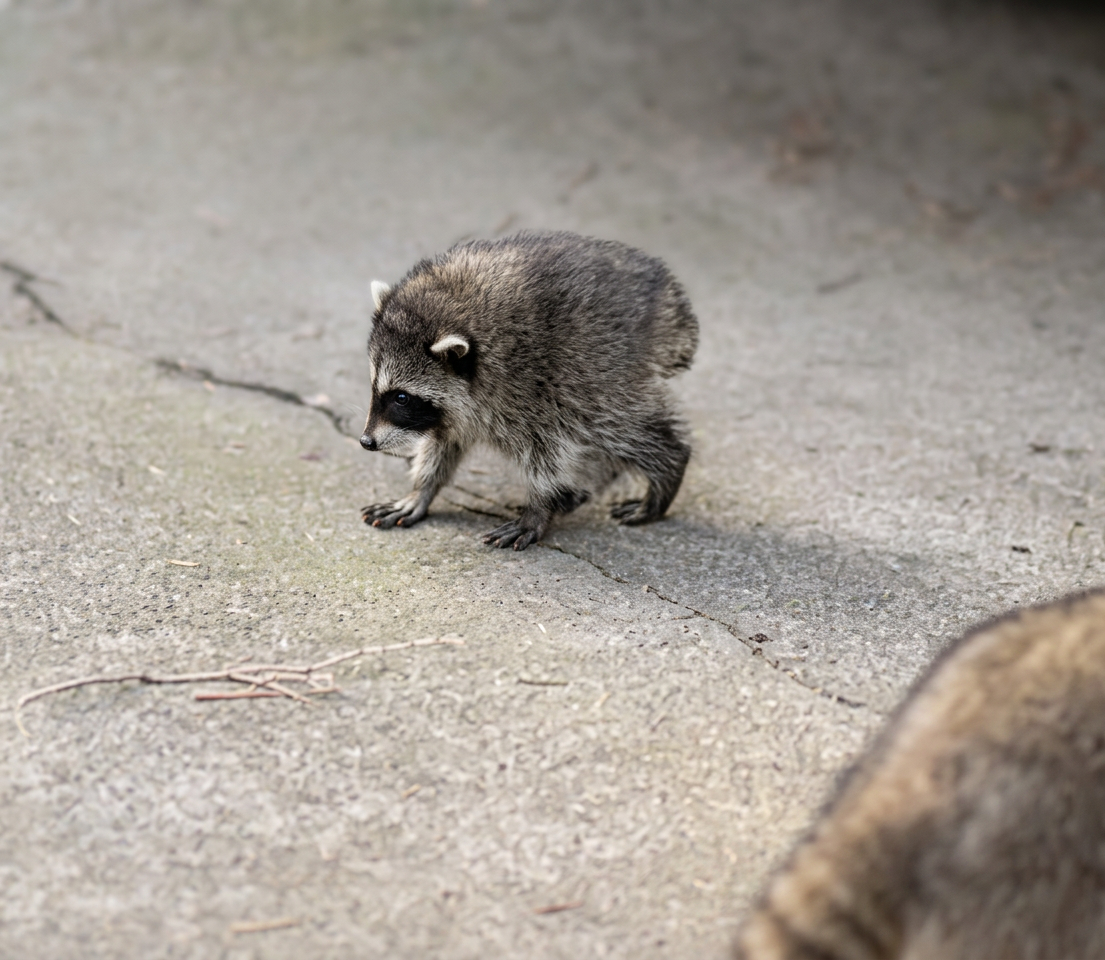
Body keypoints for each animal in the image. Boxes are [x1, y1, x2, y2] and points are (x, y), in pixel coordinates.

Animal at [358, 231, 698, 550]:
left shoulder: (536, 385)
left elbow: (549, 452)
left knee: (619, 426)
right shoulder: (456, 409)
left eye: (401, 398)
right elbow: (445, 442)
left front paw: (539, 506)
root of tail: (672, 302)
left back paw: (668, 466)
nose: (366, 442)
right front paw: (422, 489)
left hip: (603, 370)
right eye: (375, 387)